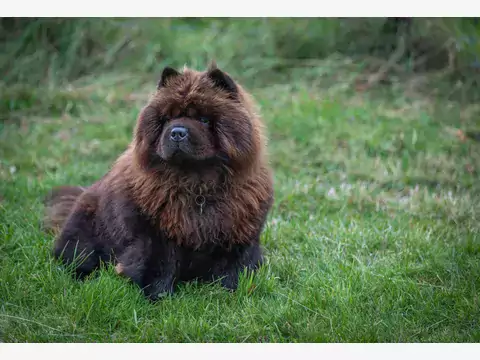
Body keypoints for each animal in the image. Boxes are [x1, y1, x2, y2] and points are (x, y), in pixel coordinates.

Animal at [43, 62, 276, 300]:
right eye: (168, 118)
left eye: (203, 119)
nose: (177, 132)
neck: (197, 186)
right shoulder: (156, 237)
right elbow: (159, 267)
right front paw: (159, 297)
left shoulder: (237, 233)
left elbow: (234, 268)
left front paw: (230, 292)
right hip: (85, 233)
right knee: (77, 256)